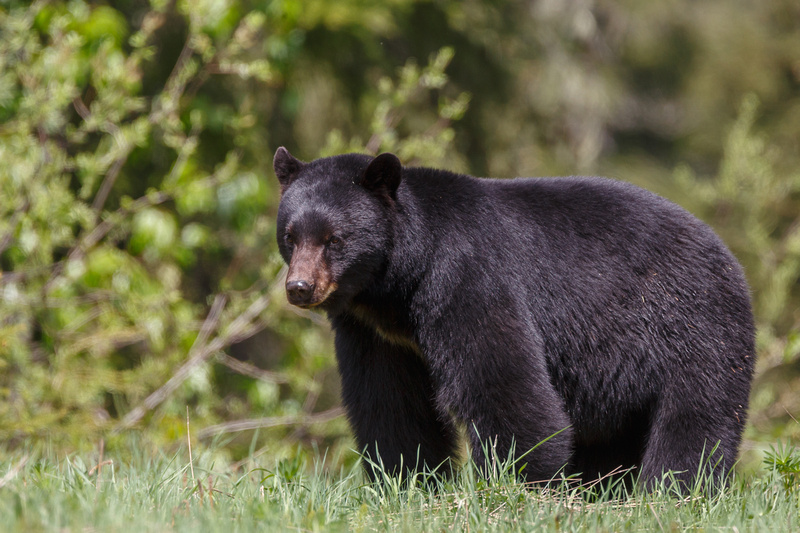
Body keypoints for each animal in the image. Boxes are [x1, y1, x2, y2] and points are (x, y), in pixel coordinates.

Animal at [274, 148, 756, 488]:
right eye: (290, 236)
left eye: (335, 239)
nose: (299, 287)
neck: (396, 287)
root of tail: (731, 258)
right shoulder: (376, 333)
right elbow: (391, 400)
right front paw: (407, 481)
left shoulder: (468, 279)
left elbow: (502, 380)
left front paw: (520, 481)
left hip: (693, 326)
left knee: (695, 418)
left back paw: (673, 489)